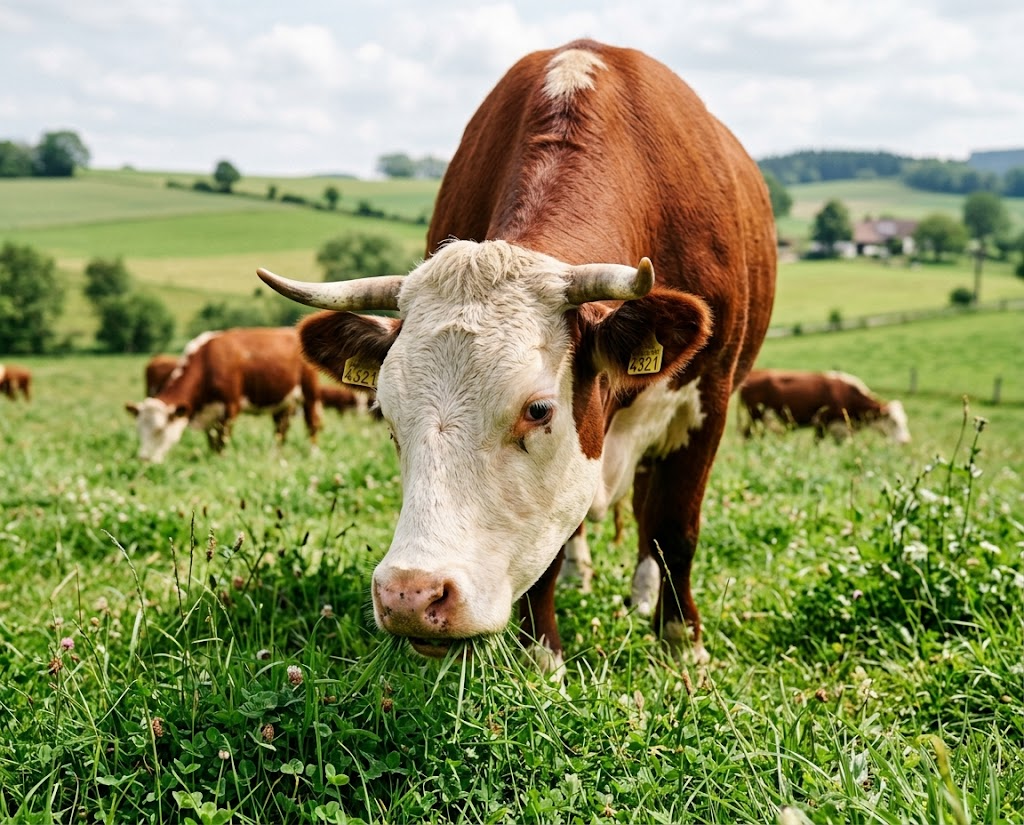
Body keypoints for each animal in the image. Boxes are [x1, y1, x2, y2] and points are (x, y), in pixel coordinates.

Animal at [125, 328, 321, 463]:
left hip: (309, 395)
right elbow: (212, 440)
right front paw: (212, 457)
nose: (144, 459)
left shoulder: (230, 407)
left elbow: (222, 439)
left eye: (159, 430)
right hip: (283, 402)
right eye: (138, 429)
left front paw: (221, 460)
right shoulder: (208, 412)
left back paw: (312, 454)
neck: (207, 362)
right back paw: (275, 455)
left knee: (311, 425)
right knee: (281, 430)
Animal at [258, 40, 776, 670]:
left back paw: (643, 592)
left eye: (538, 411)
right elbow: (552, 542)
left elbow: (674, 526)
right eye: (387, 416)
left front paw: (680, 642)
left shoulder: (709, 398)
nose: (410, 595)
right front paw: (541, 656)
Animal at [739, 369, 911, 443]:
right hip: (754, 416)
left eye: (905, 421)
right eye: (894, 422)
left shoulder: (840, 429)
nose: (906, 441)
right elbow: (817, 443)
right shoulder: (822, 423)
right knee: (747, 435)